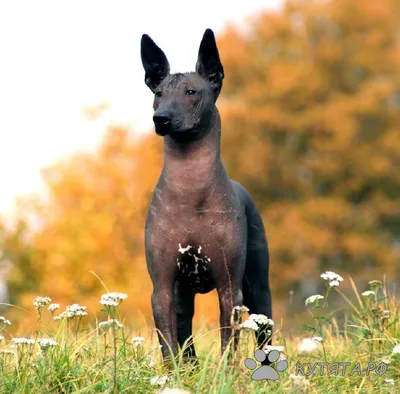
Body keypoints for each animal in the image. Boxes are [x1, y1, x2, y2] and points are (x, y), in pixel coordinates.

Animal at [141, 28, 272, 364]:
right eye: (158, 93)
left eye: (191, 92)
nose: (160, 118)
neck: (191, 189)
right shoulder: (162, 288)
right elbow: (169, 344)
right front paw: (171, 373)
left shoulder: (230, 288)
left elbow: (229, 343)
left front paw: (228, 372)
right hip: (182, 297)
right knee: (185, 337)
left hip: (259, 292)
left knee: (266, 334)